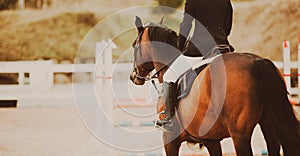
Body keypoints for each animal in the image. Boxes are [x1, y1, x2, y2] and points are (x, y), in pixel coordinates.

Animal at [129, 16, 300, 156]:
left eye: (134, 45)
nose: (133, 76)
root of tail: (258, 62)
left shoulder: (170, 139)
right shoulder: (212, 141)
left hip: (240, 135)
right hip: (269, 126)